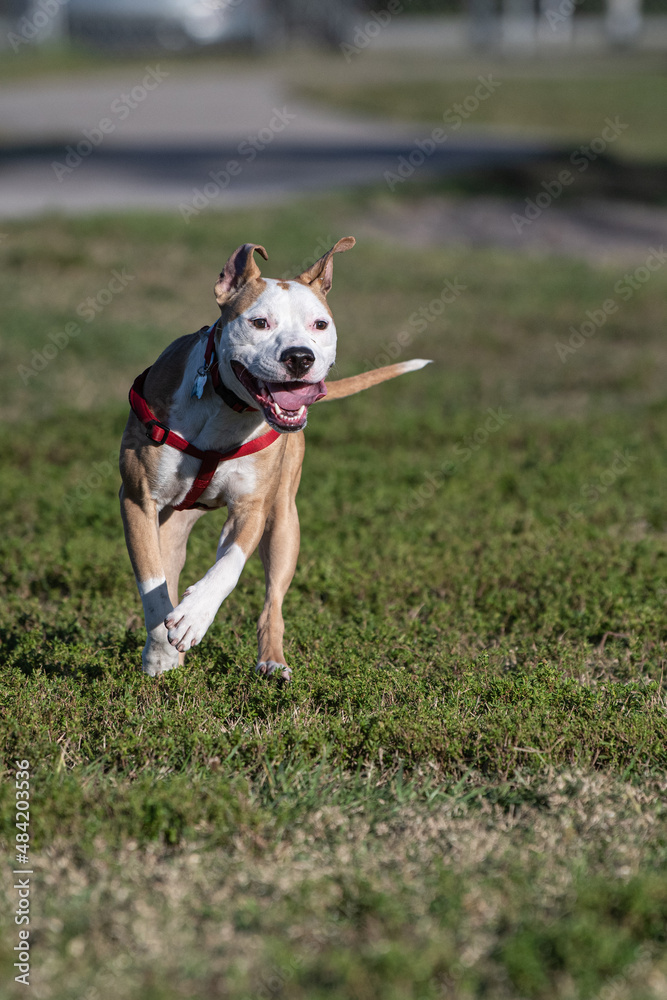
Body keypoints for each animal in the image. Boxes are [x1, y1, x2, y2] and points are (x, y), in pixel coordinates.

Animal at [120, 240, 430, 680]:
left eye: (320, 325)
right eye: (259, 322)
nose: (300, 357)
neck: (226, 409)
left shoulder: (252, 509)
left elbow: (229, 565)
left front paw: (195, 616)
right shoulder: (138, 500)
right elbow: (152, 581)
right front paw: (161, 652)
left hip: (285, 524)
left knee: (272, 600)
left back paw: (271, 660)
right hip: (174, 523)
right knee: (168, 572)